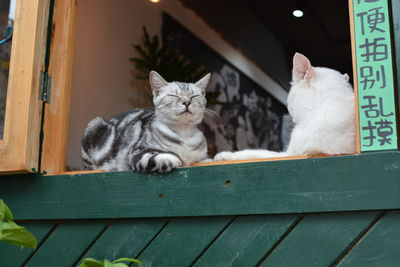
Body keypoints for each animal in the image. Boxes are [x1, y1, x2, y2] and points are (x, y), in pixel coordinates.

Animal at [82, 70, 211, 173]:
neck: (184, 133)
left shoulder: (201, 157)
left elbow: (205, 160)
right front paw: (176, 159)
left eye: (194, 96)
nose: (187, 102)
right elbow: (162, 158)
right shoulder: (137, 153)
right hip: (93, 126)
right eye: (173, 95)